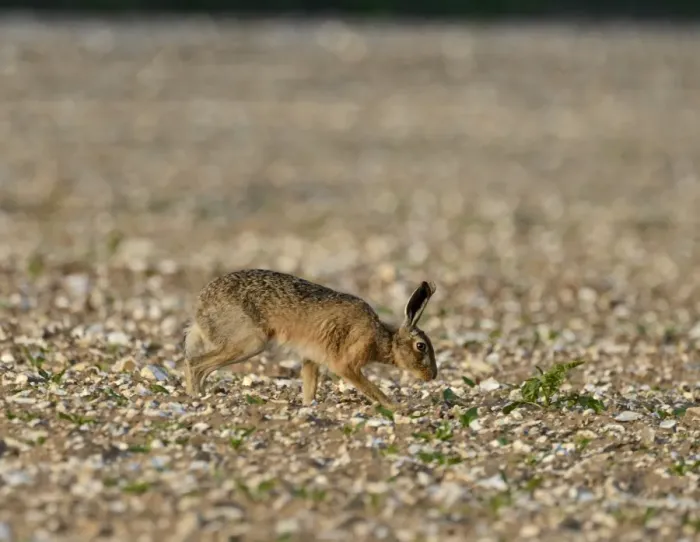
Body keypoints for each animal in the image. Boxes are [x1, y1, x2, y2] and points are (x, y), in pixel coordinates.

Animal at [183, 268, 437, 409]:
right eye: (421, 346)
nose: (433, 376)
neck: (382, 338)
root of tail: (199, 310)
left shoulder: (311, 359)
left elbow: (309, 386)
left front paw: (308, 406)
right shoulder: (346, 364)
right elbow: (371, 389)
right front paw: (397, 407)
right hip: (249, 343)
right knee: (194, 364)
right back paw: (196, 397)